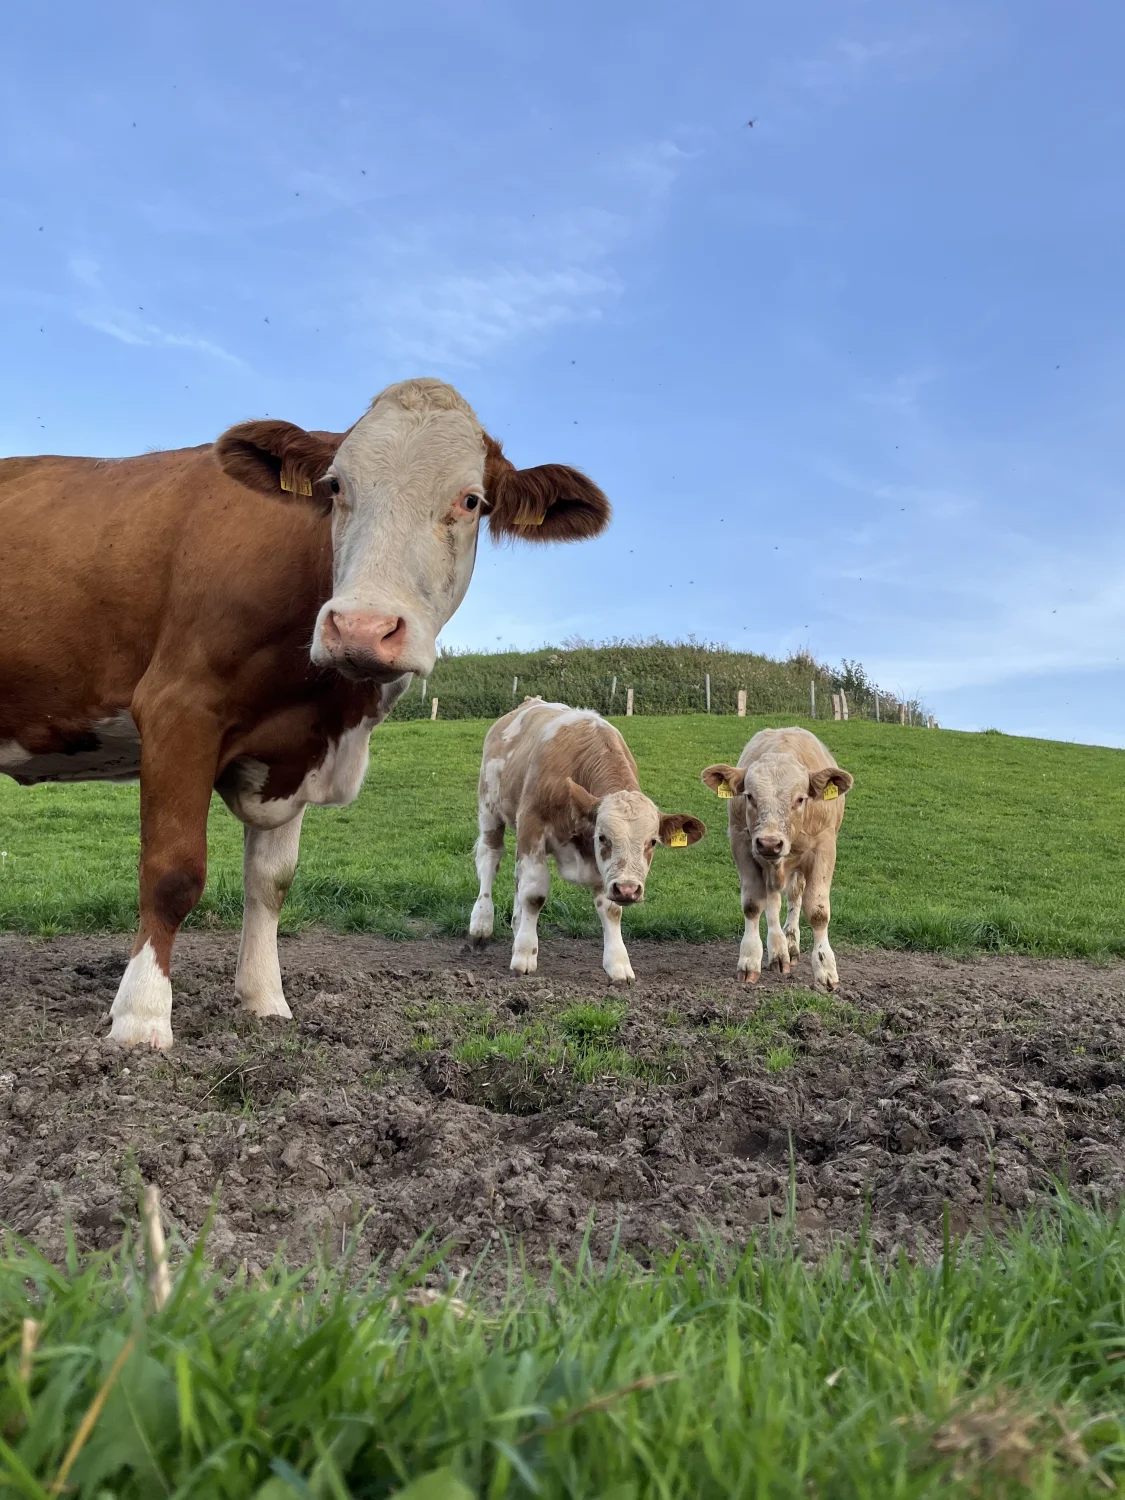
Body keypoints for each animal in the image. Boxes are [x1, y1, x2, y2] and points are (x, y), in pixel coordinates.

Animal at [0, 381, 609, 1050]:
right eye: (336, 486)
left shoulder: (294, 752)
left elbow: (271, 883)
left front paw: (265, 1000)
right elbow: (171, 873)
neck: (329, 707)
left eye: (470, 500)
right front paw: (140, 1017)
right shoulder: (177, 710)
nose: (362, 628)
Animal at [468, 702, 705, 984]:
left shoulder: (606, 869)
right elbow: (534, 895)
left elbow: (611, 909)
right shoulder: (532, 828)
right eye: (602, 837)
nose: (628, 890)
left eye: (652, 842)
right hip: (490, 808)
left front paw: (618, 963)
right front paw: (524, 955)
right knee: (490, 859)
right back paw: (481, 923)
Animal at [705, 729, 852, 990]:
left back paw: (791, 944)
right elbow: (753, 904)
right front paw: (749, 960)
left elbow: (818, 911)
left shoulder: (824, 848)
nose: (770, 843)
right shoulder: (741, 845)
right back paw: (779, 951)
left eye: (800, 799)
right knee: (773, 902)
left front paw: (825, 968)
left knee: (795, 897)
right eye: (750, 796)